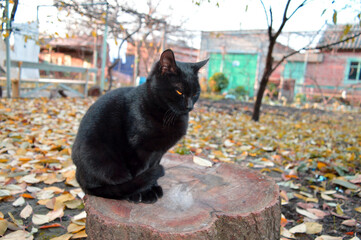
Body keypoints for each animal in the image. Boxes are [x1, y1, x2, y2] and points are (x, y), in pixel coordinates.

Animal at [71, 49, 207, 203]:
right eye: (179, 91)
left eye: (196, 93)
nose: (189, 106)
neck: (166, 115)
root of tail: (79, 179)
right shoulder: (138, 150)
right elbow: (140, 172)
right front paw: (145, 193)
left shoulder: (158, 152)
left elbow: (152, 167)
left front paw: (153, 186)